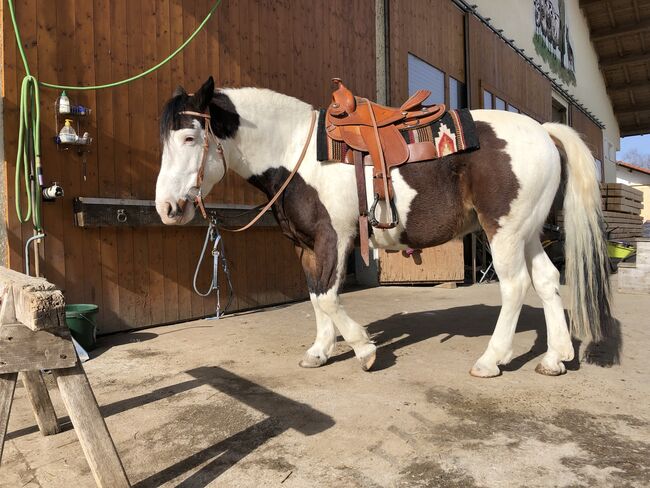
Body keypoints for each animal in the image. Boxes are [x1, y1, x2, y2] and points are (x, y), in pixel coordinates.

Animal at [154, 77, 612, 378]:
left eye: (190, 138)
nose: (167, 208)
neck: (295, 152)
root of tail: (545, 130)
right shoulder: (306, 245)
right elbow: (315, 296)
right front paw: (320, 351)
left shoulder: (333, 238)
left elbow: (327, 297)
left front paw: (363, 349)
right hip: (528, 233)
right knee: (548, 281)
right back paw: (555, 358)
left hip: (504, 232)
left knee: (515, 286)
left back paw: (491, 360)